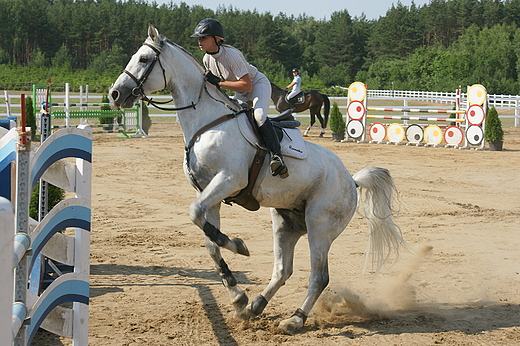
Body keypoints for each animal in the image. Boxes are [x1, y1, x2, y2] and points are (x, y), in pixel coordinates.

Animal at [108, 24, 406, 332]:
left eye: (144, 59)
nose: (115, 94)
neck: (206, 122)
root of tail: (351, 179)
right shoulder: (210, 195)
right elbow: (209, 241)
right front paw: (237, 295)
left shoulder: (229, 181)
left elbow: (197, 217)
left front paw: (238, 246)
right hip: (286, 222)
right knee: (283, 270)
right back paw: (255, 306)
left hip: (320, 225)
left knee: (319, 276)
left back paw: (295, 320)